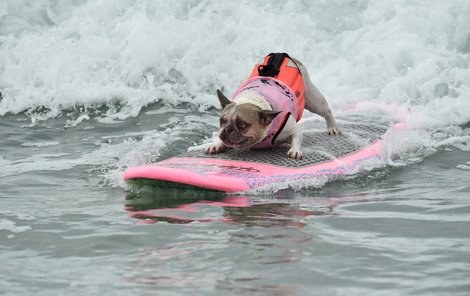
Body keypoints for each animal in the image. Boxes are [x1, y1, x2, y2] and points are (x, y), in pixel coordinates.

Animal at [204, 53, 340, 160]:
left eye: (242, 125)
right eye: (221, 121)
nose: (226, 129)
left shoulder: (293, 130)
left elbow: (296, 138)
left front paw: (295, 150)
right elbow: (219, 137)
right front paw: (215, 144)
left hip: (313, 100)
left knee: (326, 110)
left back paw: (332, 127)